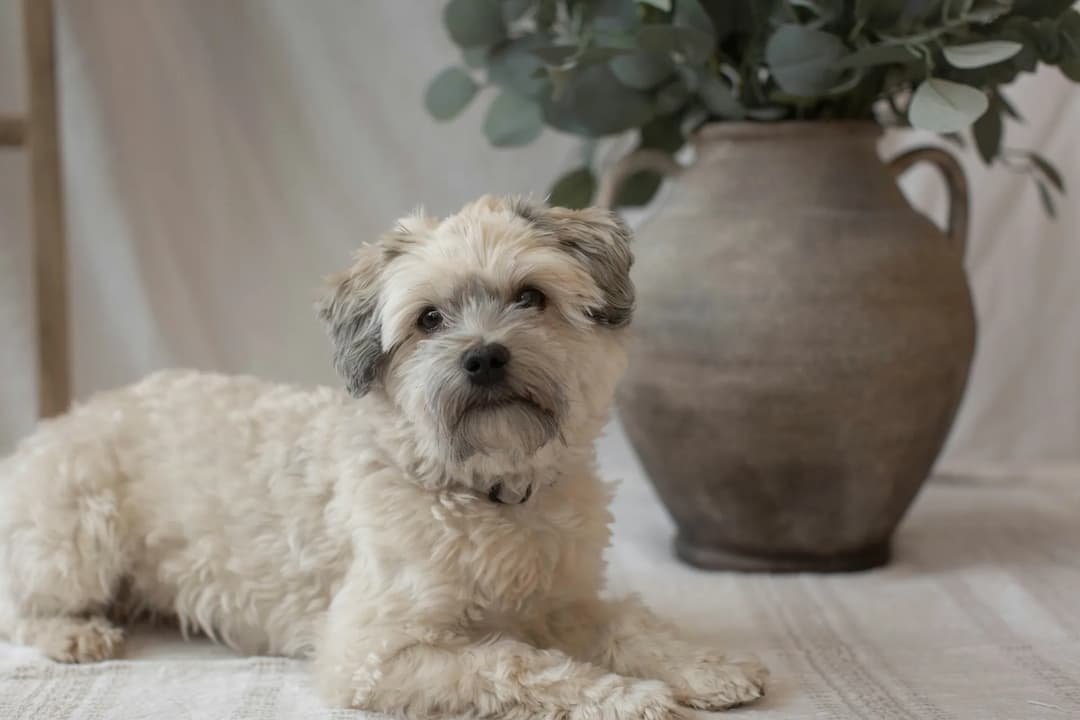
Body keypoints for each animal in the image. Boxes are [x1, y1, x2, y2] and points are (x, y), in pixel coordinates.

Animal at [0, 194, 768, 716]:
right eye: (429, 319)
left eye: (530, 296)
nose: (484, 357)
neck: (487, 492)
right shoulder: (374, 652)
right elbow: (516, 663)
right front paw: (626, 697)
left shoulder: (566, 600)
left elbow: (629, 624)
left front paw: (703, 667)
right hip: (78, 535)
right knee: (19, 605)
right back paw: (76, 636)